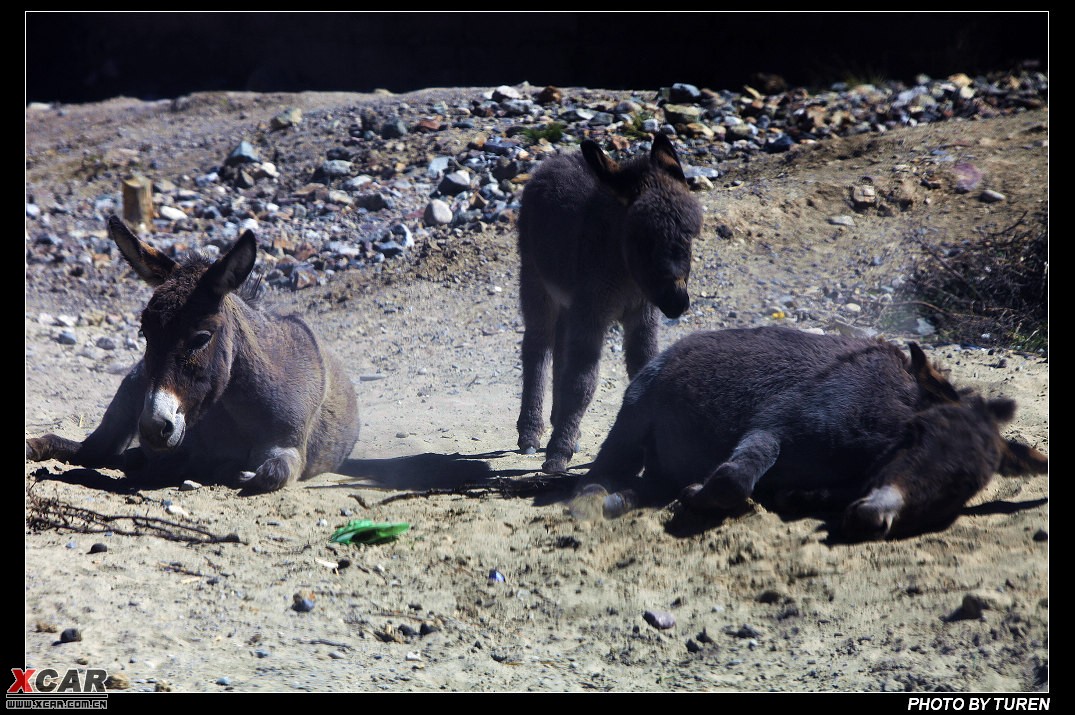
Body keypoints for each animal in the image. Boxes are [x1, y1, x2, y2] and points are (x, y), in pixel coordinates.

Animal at [24, 216, 361, 490]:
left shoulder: (288, 445)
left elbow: (270, 474)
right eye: (145, 333)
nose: (153, 428)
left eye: (201, 338)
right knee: (88, 450)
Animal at [513, 134, 700, 470]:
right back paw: (532, 434)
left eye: (688, 236)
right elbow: (582, 382)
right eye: (642, 240)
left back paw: (562, 427)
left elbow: (643, 368)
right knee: (537, 346)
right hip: (535, 281)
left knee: (560, 349)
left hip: (570, 303)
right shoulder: (593, 313)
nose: (677, 303)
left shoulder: (642, 316)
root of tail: (558, 158)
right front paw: (557, 454)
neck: (625, 275)